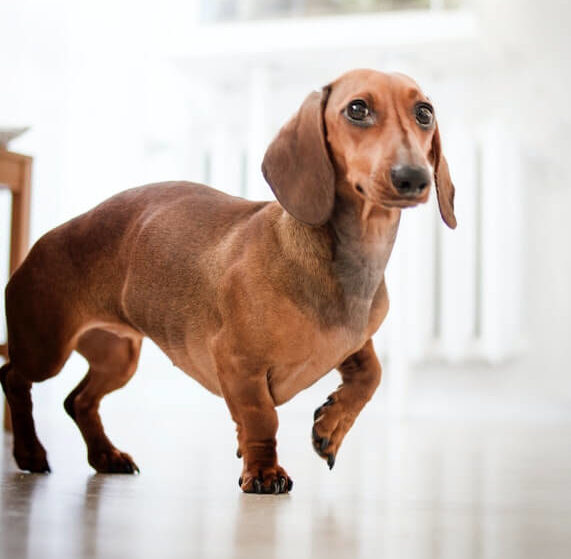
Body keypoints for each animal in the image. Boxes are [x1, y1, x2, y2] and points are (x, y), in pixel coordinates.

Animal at [0, 70, 456, 494]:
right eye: (357, 109)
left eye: (424, 113)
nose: (414, 177)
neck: (348, 262)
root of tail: (46, 239)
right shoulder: (237, 361)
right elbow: (261, 417)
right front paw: (264, 471)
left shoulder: (354, 342)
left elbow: (371, 374)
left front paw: (330, 426)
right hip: (46, 347)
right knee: (13, 376)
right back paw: (30, 452)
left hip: (118, 356)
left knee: (77, 401)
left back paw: (105, 456)